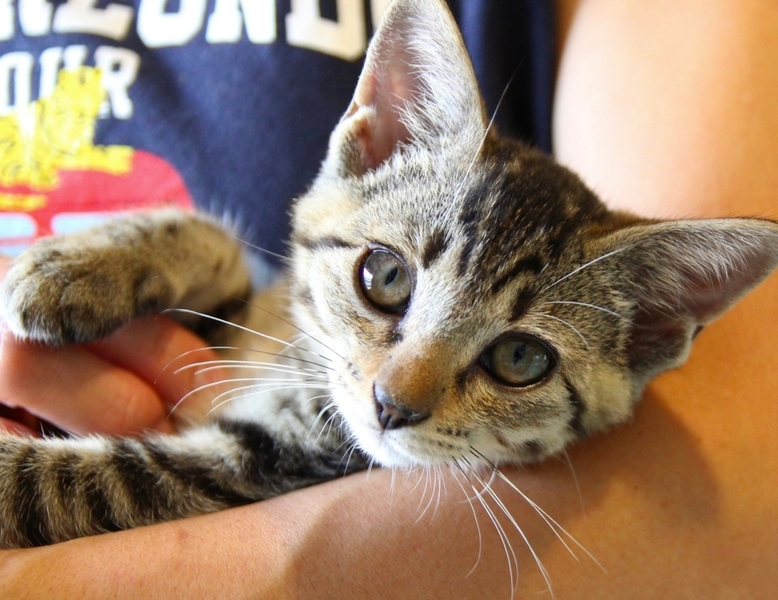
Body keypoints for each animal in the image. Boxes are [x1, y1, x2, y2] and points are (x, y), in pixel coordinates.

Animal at [0, 0, 777, 550]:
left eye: (520, 359)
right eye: (385, 276)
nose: (391, 407)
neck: (293, 358)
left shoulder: (266, 464)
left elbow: (72, 484)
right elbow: (215, 240)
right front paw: (67, 268)